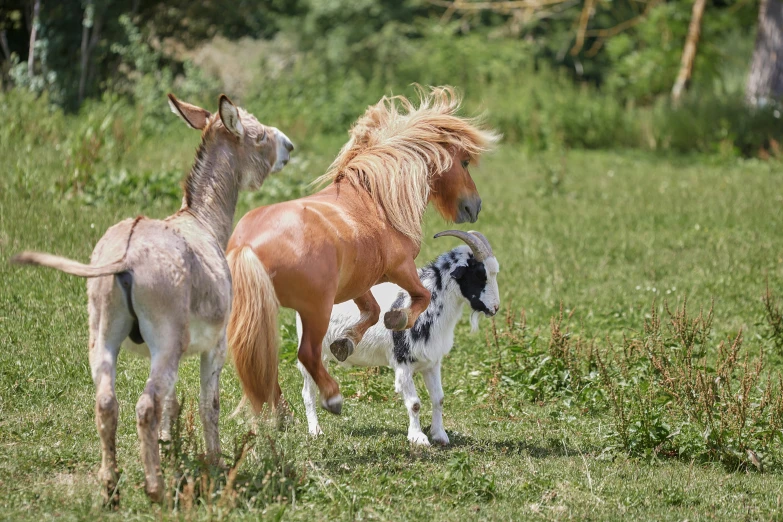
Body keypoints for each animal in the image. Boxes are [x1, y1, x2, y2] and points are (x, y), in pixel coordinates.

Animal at [224, 86, 500, 414]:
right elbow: (420, 296)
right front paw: (399, 319)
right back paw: (331, 397)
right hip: (315, 309)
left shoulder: (359, 282)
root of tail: (246, 245)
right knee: (306, 354)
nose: (475, 206)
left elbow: (372, 310)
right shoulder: (401, 268)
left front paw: (346, 343)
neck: (376, 199)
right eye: (465, 162)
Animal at [298, 230, 500, 444]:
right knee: (308, 392)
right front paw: (418, 438)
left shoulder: (432, 362)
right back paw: (315, 431)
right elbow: (414, 403)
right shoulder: (403, 362)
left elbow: (439, 398)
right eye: (479, 274)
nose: (495, 308)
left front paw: (440, 435)